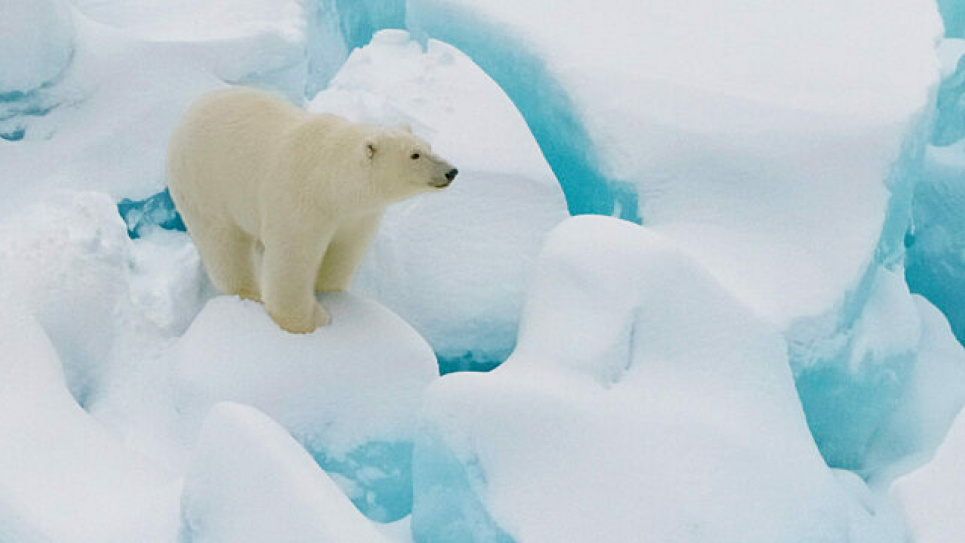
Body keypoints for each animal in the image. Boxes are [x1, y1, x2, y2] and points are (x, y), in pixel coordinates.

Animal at [167, 88, 460, 334]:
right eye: (414, 155)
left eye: (428, 146)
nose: (451, 171)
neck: (330, 179)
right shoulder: (301, 200)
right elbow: (292, 259)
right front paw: (313, 319)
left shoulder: (355, 216)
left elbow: (343, 252)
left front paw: (330, 292)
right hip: (205, 185)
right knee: (223, 244)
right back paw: (248, 291)